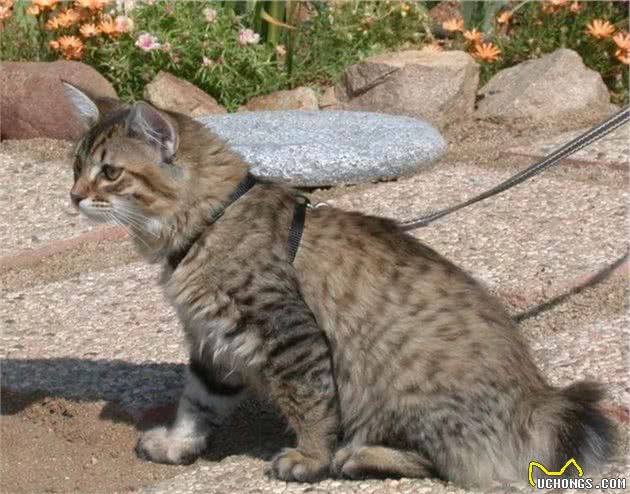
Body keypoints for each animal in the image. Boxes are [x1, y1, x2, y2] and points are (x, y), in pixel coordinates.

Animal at [63, 82, 615, 487]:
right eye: (75, 167)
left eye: (109, 173)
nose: (74, 196)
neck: (210, 222)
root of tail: (539, 399)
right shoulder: (212, 342)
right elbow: (197, 404)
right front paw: (179, 445)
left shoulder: (287, 333)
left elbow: (309, 404)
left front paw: (309, 458)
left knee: (454, 466)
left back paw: (358, 456)